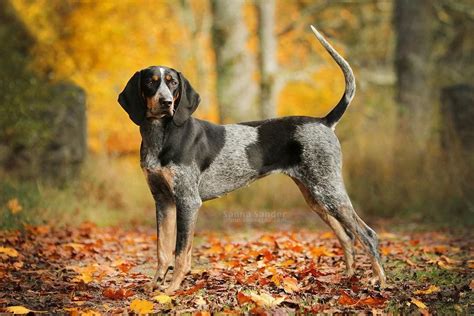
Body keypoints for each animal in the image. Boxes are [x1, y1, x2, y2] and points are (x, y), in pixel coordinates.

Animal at [117, 25, 386, 294]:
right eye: (151, 83)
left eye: (173, 83)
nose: (166, 103)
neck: (160, 135)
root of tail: (324, 121)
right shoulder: (163, 200)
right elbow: (162, 249)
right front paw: (155, 285)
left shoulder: (187, 201)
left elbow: (180, 252)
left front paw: (172, 288)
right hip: (316, 196)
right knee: (347, 236)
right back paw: (349, 276)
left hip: (329, 192)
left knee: (368, 235)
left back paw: (380, 282)